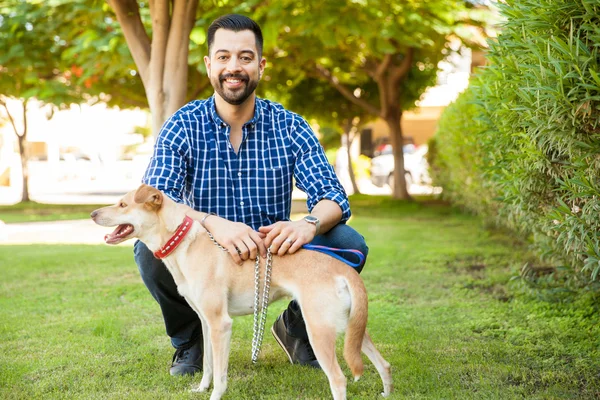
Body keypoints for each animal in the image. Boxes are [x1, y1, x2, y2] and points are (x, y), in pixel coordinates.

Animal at [88, 184, 390, 400]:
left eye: (123, 204)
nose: (92, 214)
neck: (184, 243)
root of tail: (345, 269)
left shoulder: (221, 324)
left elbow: (221, 375)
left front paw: (214, 396)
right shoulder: (207, 323)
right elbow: (209, 366)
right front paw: (201, 389)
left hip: (319, 329)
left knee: (338, 379)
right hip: (352, 327)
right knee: (384, 364)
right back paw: (386, 393)